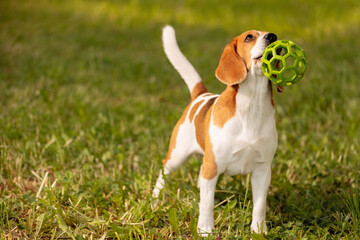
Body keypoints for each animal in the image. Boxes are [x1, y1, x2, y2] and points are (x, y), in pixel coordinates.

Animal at [152, 25, 282, 235]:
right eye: (249, 37)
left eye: (271, 34)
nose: (273, 37)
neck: (252, 106)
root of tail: (200, 95)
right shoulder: (212, 167)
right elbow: (206, 204)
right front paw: (205, 230)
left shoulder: (262, 170)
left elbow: (259, 205)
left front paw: (259, 230)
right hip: (178, 154)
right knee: (165, 171)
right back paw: (156, 199)